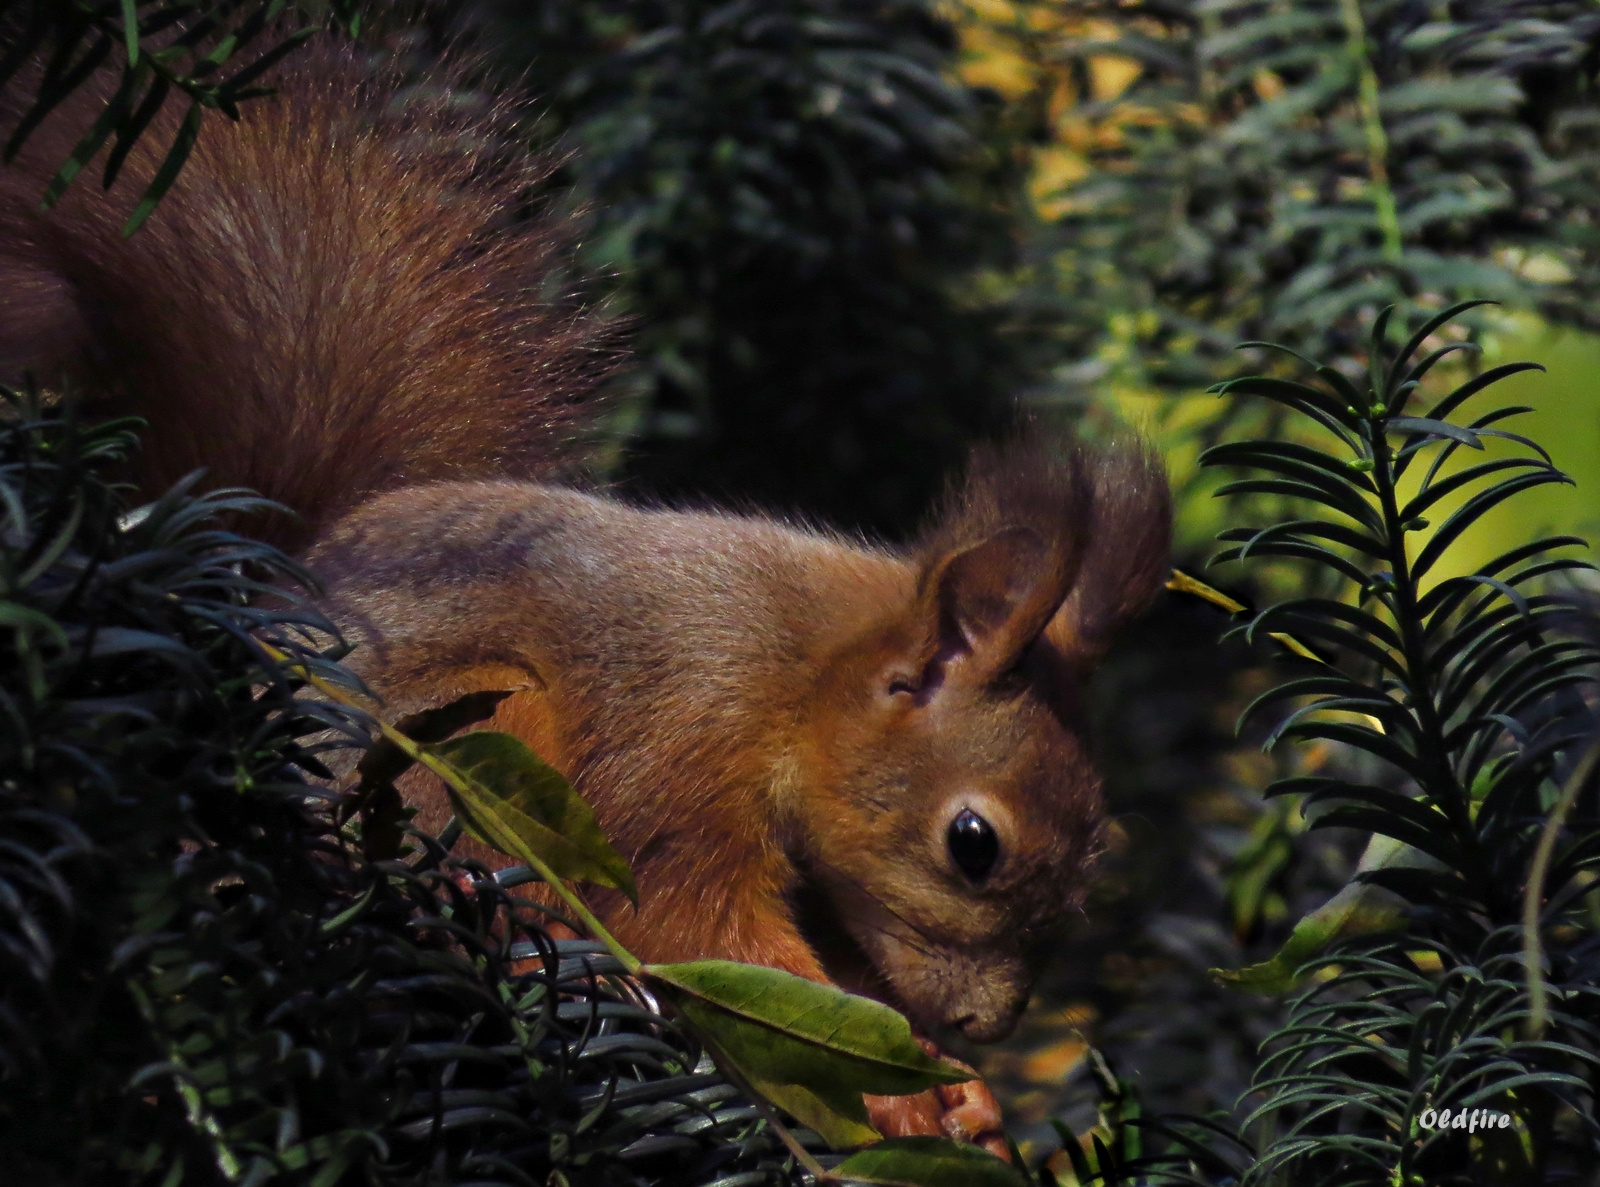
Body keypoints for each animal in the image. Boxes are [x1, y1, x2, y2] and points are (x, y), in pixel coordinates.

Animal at [0, 46, 1177, 1151]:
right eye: (973, 842)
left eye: (1102, 853)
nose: (990, 1024)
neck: (793, 673)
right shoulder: (680, 747)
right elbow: (700, 925)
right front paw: (904, 1091)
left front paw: (966, 1091)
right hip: (456, 737)